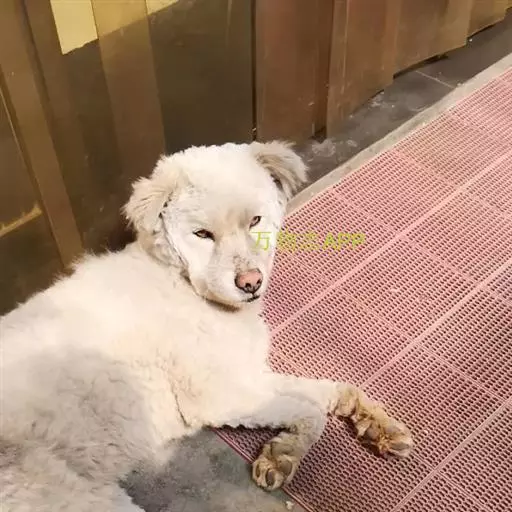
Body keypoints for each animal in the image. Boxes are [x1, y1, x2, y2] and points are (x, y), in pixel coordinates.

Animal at [0, 141, 413, 511]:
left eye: (255, 221)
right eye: (201, 234)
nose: (251, 282)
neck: (183, 284)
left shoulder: (247, 372)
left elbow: (327, 393)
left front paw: (371, 422)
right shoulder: (218, 396)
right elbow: (311, 412)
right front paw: (283, 454)